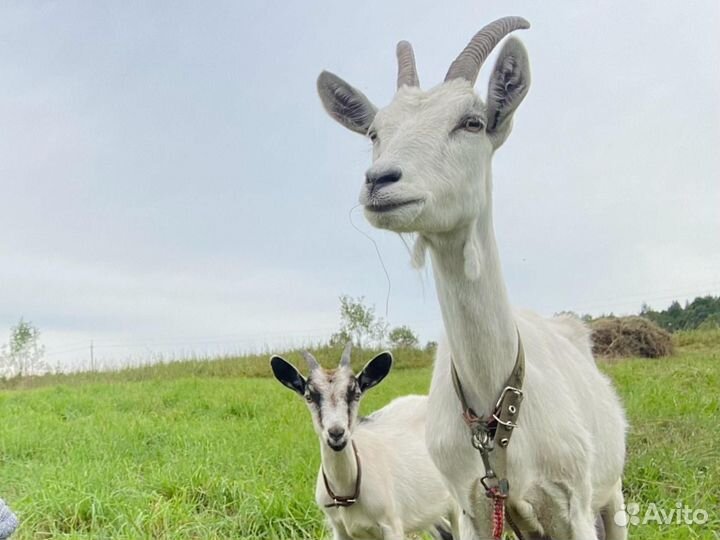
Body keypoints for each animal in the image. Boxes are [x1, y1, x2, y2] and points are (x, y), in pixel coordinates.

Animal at [271, 343, 458, 540]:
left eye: (356, 394)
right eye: (309, 397)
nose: (336, 433)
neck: (346, 490)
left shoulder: (391, 525)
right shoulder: (339, 528)